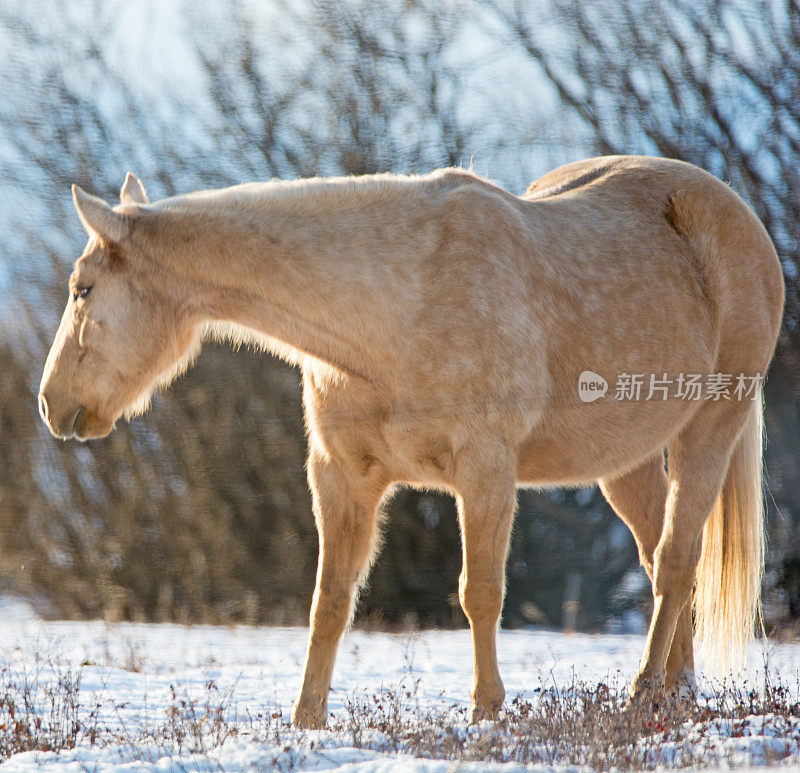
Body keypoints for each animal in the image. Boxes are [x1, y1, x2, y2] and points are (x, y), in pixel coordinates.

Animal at [39, 158, 780, 728]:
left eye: (82, 291)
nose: (51, 404)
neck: (397, 302)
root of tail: (736, 215)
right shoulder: (342, 474)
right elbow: (330, 599)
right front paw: (306, 719)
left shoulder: (485, 471)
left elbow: (480, 591)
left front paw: (485, 710)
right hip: (627, 462)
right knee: (661, 562)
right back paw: (673, 695)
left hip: (710, 427)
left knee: (678, 560)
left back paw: (642, 693)